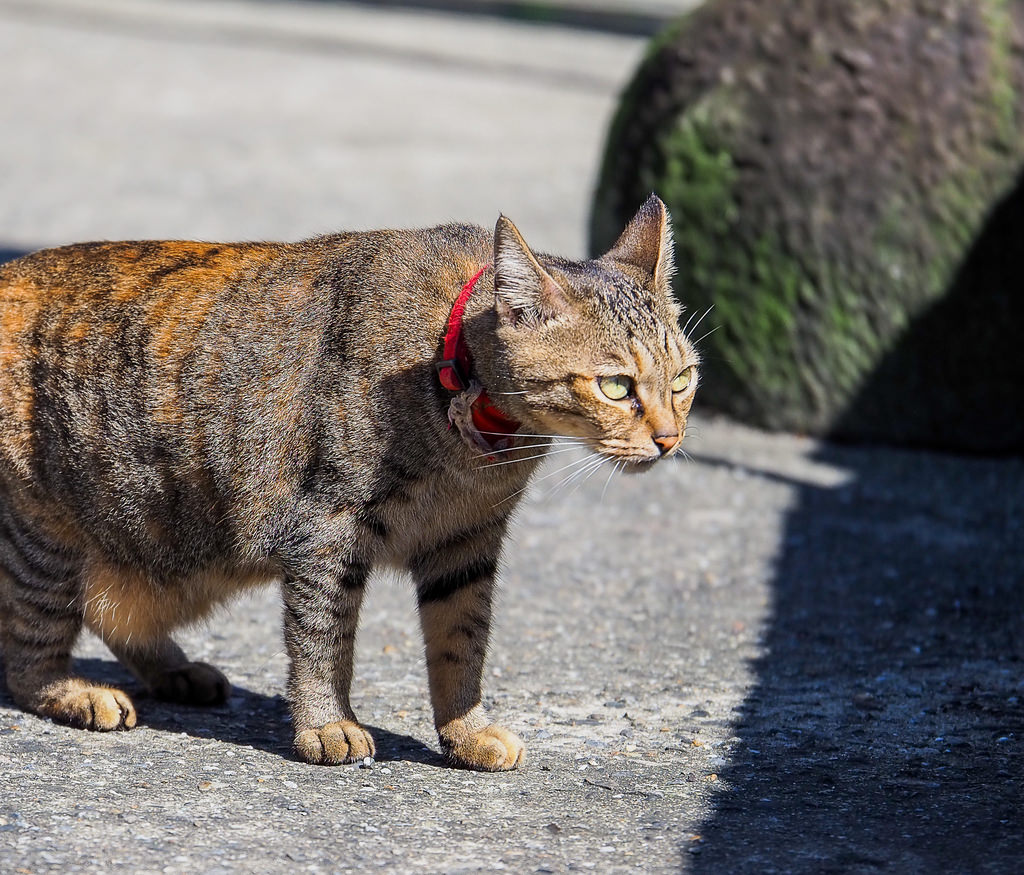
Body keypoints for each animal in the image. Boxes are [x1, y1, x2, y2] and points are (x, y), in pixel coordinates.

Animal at [0, 195, 696, 770]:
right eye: (616, 386)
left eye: (684, 379)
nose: (669, 438)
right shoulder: (326, 531)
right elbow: (324, 640)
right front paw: (327, 724)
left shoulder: (467, 544)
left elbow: (462, 645)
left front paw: (466, 732)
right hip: (45, 538)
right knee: (28, 653)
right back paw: (78, 694)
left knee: (111, 611)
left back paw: (176, 670)